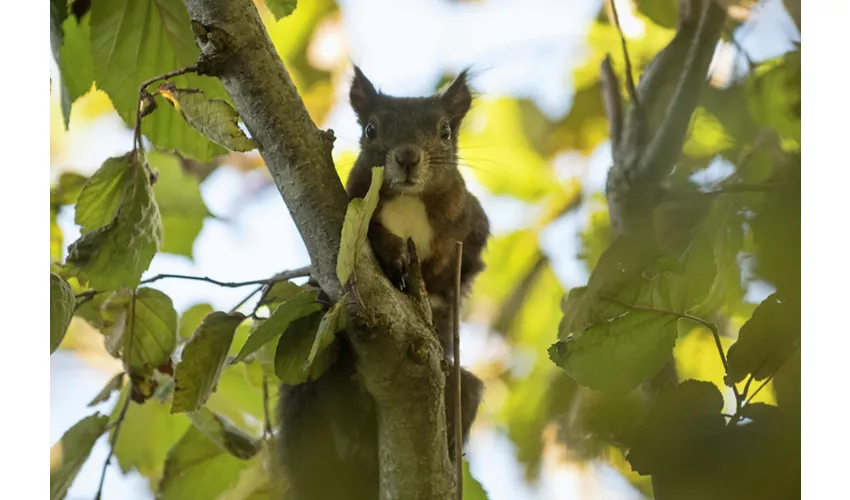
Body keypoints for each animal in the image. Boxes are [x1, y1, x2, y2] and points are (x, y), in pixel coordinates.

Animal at [276, 67, 490, 500]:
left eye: (445, 131)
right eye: (371, 129)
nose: (407, 157)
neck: (409, 202)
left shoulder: (473, 226)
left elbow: (458, 267)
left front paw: (431, 263)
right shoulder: (349, 217)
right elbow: (366, 239)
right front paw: (394, 256)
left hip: (466, 390)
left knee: (467, 390)